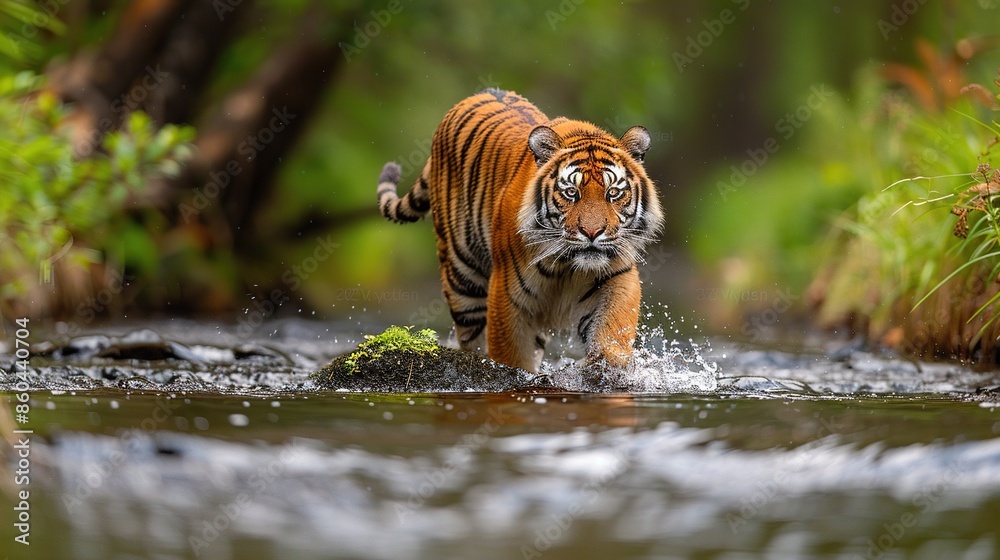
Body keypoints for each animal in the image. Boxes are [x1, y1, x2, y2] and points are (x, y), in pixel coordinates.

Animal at [377, 88, 663, 373]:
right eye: (571, 193)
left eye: (613, 193)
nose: (592, 233)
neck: (568, 267)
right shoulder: (508, 297)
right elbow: (513, 359)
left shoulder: (617, 278)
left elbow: (611, 337)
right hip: (462, 279)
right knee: (471, 336)